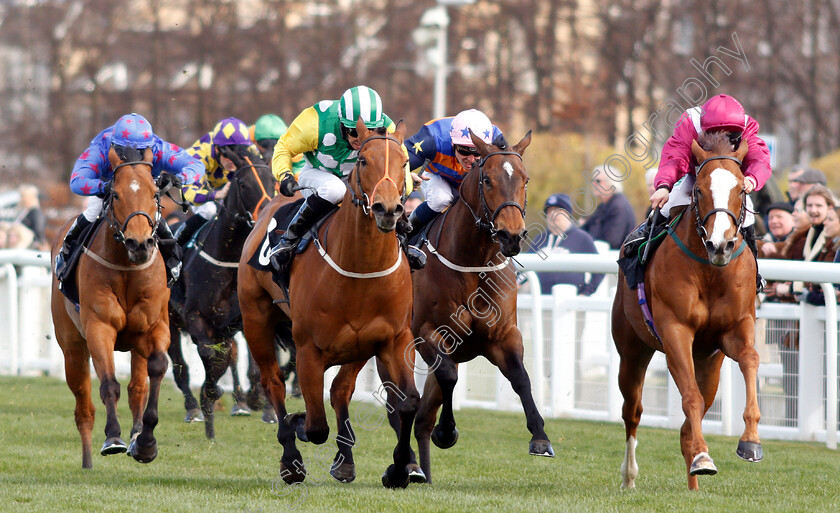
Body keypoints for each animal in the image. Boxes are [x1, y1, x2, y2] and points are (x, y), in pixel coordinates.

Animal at [50, 145, 171, 468]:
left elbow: (157, 367)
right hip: (71, 347)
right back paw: (88, 461)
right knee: (84, 406)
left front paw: (145, 442)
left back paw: (137, 435)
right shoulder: (99, 328)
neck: (126, 267)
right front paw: (113, 437)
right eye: (115, 194)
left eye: (155, 192)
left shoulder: (154, 328)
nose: (139, 243)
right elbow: (108, 384)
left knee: (138, 387)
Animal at [166, 153, 278, 436]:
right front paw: (211, 395)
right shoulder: (194, 316)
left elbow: (245, 359)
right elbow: (211, 355)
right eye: (243, 184)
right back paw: (193, 408)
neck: (227, 261)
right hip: (170, 322)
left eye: (273, 181)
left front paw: (263, 406)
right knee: (180, 367)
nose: (266, 214)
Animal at [236, 118, 420, 486]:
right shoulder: (308, 347)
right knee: (273, 382)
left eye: (405, 163)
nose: (388, 209)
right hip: (255, 318)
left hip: (359, 346)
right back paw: (291, 458)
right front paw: (296, 426)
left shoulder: (392, 338)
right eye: (363, 161)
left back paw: (345, 460)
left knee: (339, 389)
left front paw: (397, 470)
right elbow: (315, 426)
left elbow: (407, 402)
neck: (360, 269)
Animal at [398, 128, 556, 484]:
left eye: (525, 179)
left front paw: (540, 438)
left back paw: (422, 473)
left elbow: (521, 377)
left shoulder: (504, 335)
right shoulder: (429, 333)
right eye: (486, 179)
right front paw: (447, 432)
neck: (473, 263)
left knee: (422, 418)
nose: (511, 235)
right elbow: (448, 377)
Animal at [612, 131, 760, 488]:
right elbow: (689, 397)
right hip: (632, 349)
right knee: (633, 411)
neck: (710, 270)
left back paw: (693, 479)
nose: (720, 245)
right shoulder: (675, 331)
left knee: (692, 418)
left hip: (709, 362)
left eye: (741, 189)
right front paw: (704, 457)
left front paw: (750, 441)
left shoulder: (735, 329)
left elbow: (750, 359)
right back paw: (630, 477)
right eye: (699, 189)